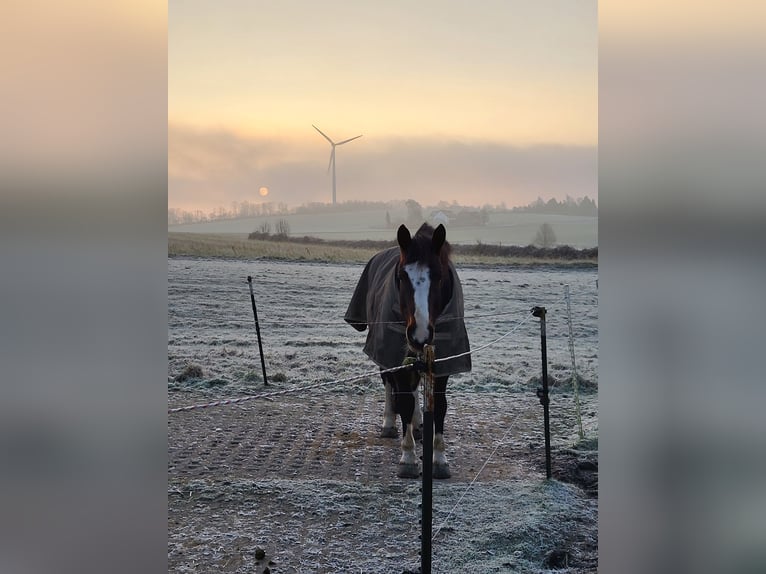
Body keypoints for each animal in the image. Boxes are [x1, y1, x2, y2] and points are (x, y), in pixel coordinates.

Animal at [344, 223, 472, 480]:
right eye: (402, 276)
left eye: (439, 275)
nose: (419, 334)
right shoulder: (396, 358)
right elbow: (403, 402)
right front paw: (409, 457)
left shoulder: (443, 363)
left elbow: (439, 406)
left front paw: (439, 459)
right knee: (389, 383)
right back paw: (390, 424)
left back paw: (419, 424)